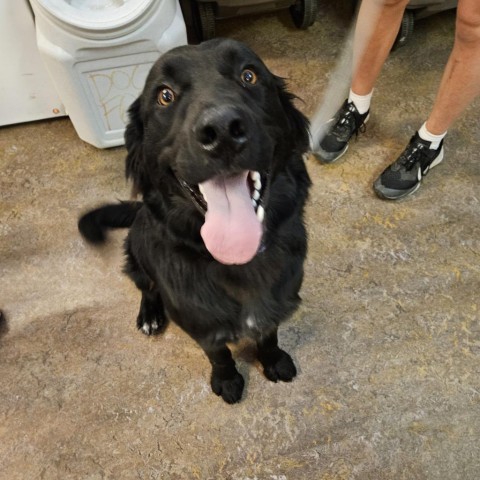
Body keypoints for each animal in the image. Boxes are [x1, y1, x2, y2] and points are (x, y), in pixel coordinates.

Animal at [78, 38, 312, 404]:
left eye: (249, 75)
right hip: (137, 251)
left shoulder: (280, 299)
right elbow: (218, 353)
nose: (223, 130)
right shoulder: (199, 322)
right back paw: (150, 315)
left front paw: (274, 359)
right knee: (145, 285)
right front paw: (227, 380)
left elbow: (269, 333)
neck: (238, 263)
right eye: (164, 95)